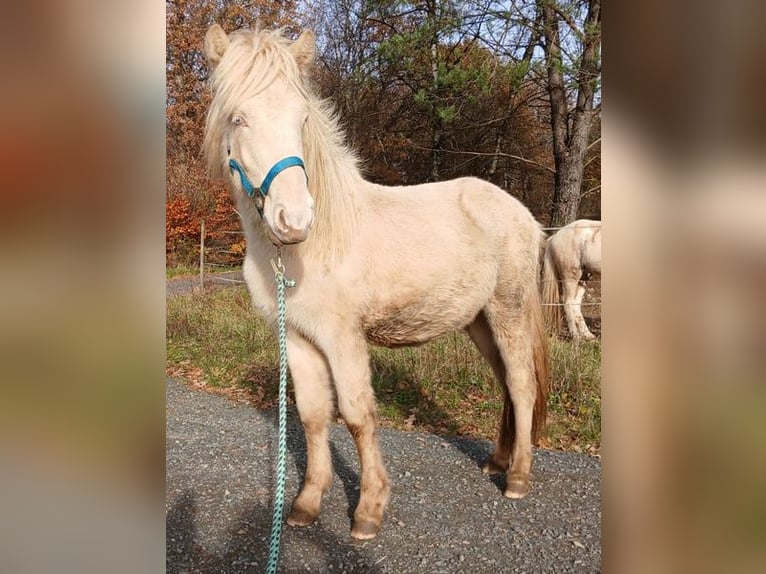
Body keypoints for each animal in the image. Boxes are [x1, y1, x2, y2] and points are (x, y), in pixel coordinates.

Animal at [202, 23, 549, 540]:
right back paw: (497, 461)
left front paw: (368, 509)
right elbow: (313, 415)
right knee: (507, 383)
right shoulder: (298, 337)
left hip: (509, 311)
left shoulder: (343, 337)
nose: (294, 219)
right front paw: (307, 503)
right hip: (479, 321)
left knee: (523, 384)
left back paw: (519, 478)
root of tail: (523, 214)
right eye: (238, 118)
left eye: (302, 118)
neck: (310, 247)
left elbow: (357, 414)